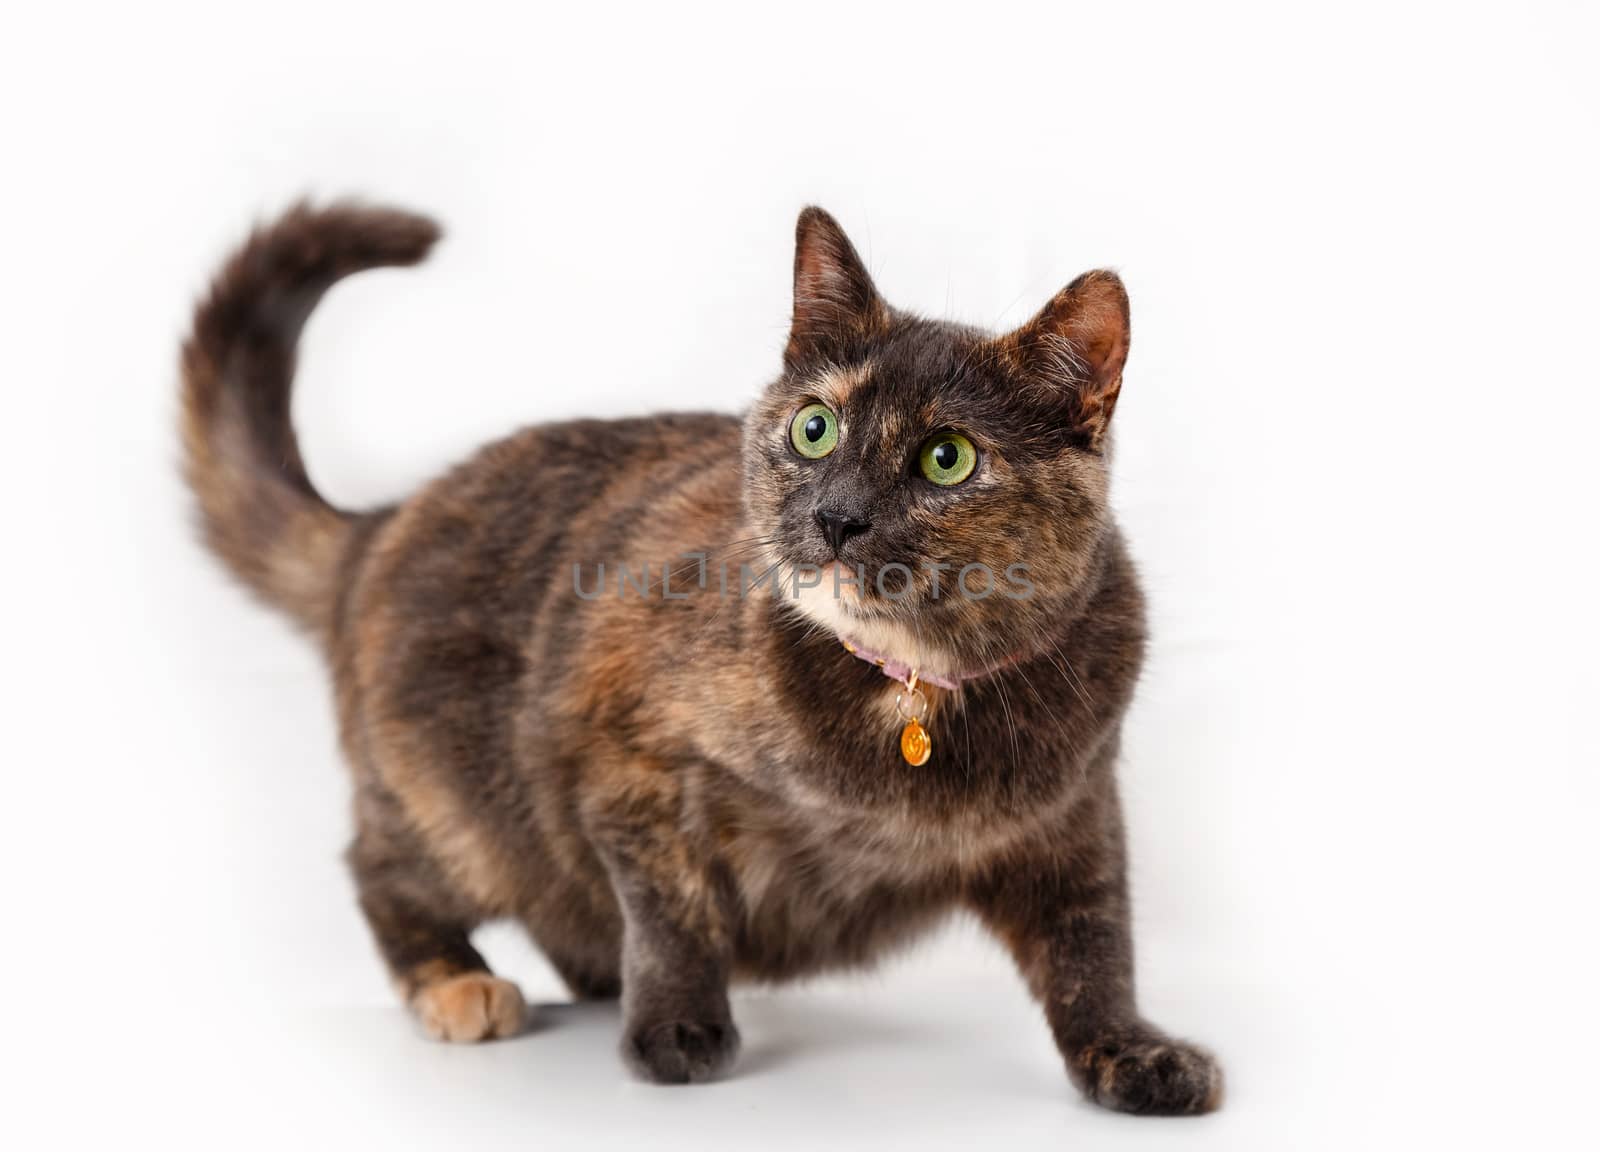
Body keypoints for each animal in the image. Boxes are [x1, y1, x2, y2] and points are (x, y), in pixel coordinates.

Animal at [178, 202, 1222, 1113]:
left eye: (948, 458)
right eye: (815, 428)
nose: (836, 516)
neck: (911, 695)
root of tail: (380, 526)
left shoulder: (1076, 814)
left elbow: (1095, 943)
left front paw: (1133, 1050)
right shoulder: (624, 757)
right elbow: (672, 908)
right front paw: (677, 1024)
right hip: (460, 806)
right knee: (383, 869)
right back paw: (457, 981)